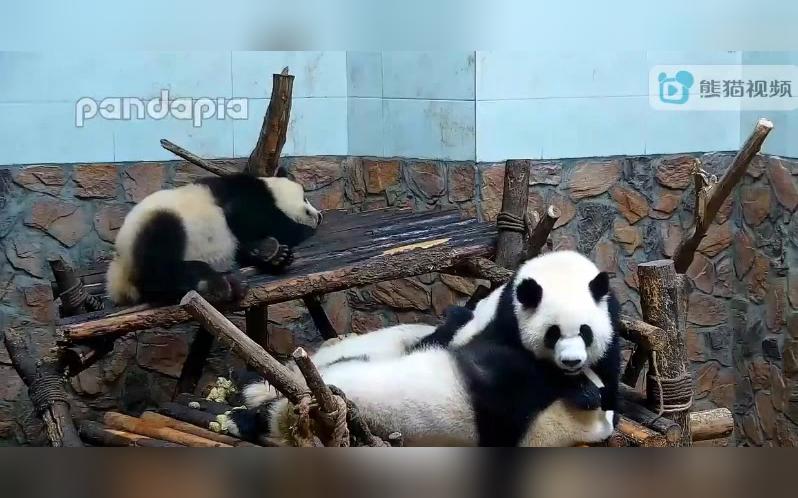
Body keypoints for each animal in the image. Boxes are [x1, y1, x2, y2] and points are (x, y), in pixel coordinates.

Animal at [108, 169, 324, 306]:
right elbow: (261, 219)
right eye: (305, 199)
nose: (319, 216)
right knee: (157, 265)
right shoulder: (245, 197)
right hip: (156, 222)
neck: (268, 187)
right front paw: (297, 234)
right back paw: (217, 281)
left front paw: (275, 255)